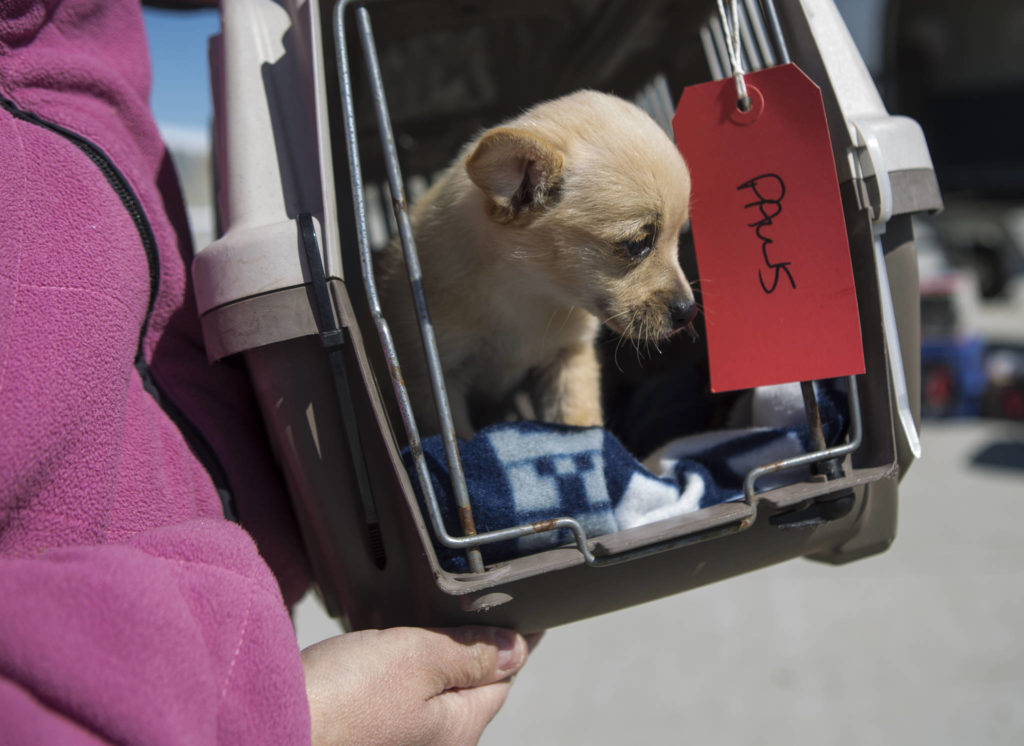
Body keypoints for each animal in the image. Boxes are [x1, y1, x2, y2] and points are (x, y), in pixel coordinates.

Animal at [376, 88, 696, 435]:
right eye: (637, 244)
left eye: (679, 237)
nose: (689, 312)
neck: (529, 293)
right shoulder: (435, 382)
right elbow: (457, 435)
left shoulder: (568, 357)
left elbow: (577, 420)